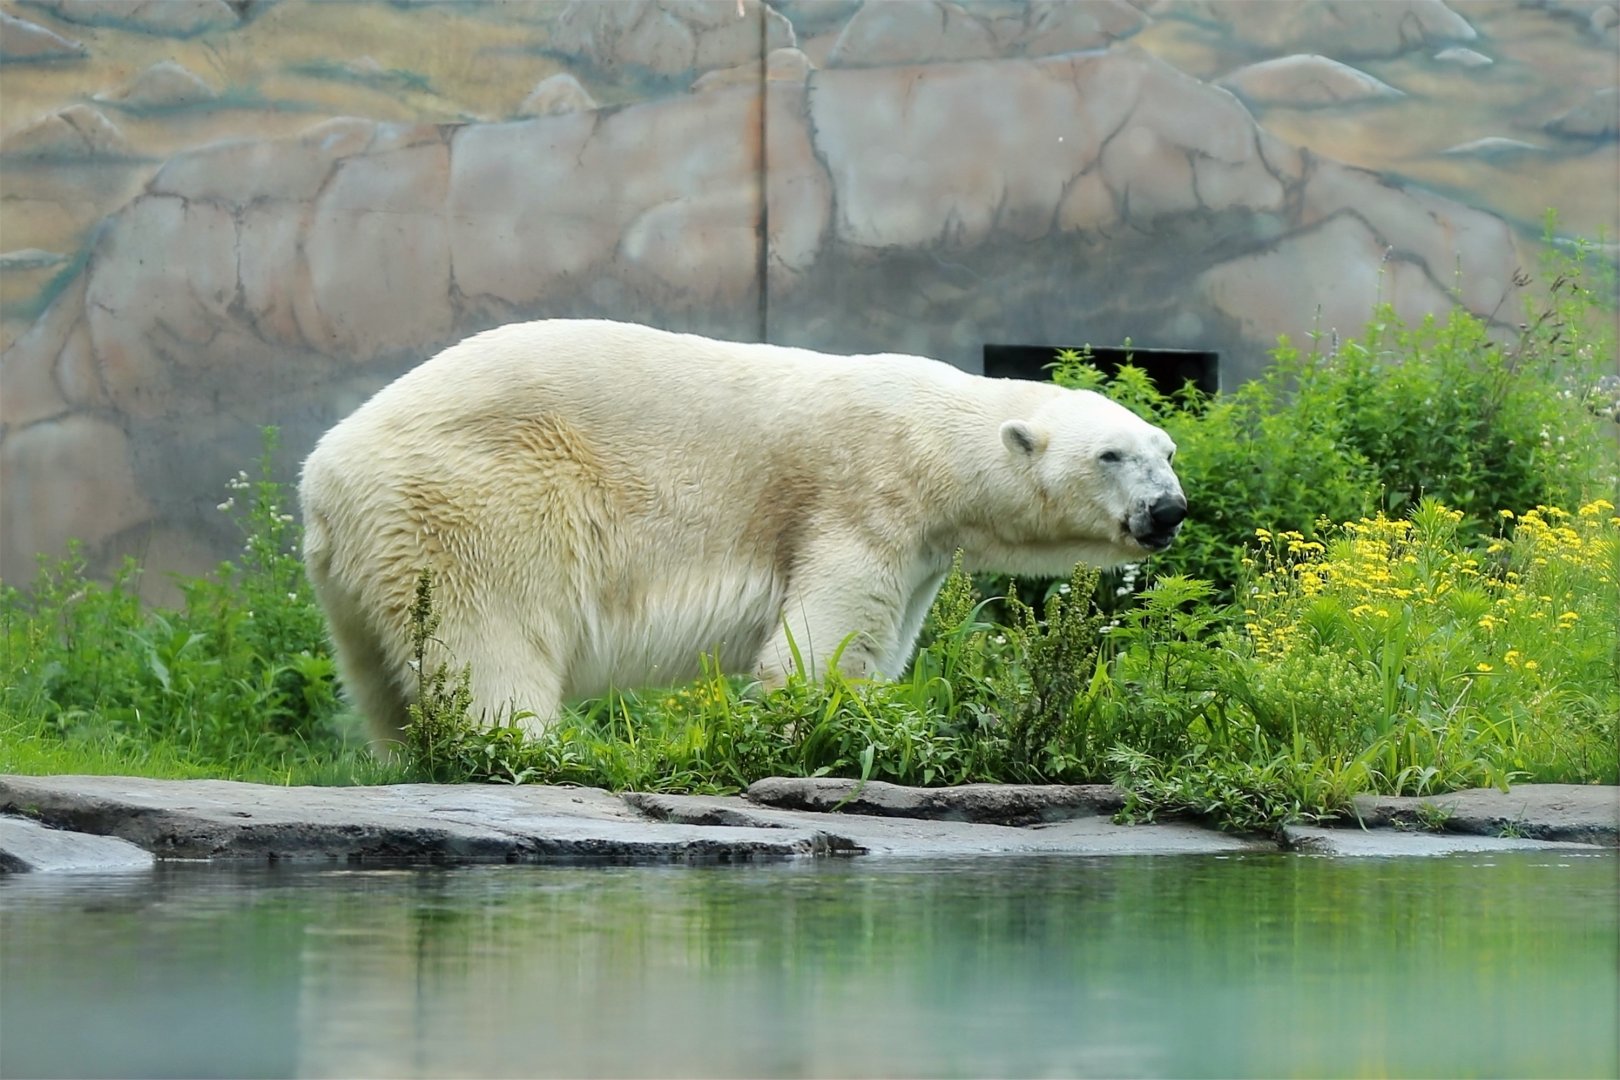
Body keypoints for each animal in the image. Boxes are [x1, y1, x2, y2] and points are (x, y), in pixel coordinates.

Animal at [298, 318, 1185, 751]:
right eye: (1111, 455)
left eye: (1168, 452)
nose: (1168, 511)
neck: (931, 440)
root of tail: (323, 472)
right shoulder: (861, 497)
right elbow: (823, 648)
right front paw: (823, 730)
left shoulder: (922, 548)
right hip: (483, 501)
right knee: (491, 637)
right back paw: (534, 751)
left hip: (366, 556)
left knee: (381, 677)